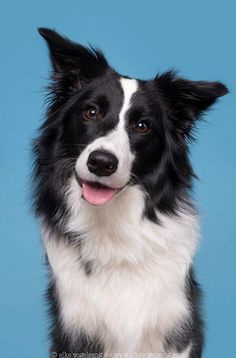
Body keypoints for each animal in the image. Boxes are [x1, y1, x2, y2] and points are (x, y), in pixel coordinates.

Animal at [33, 28, 227, 358]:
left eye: (142, 126)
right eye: (91, 112)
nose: (101, 162)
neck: (113, 225)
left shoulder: (175, 332)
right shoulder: (78, 331)